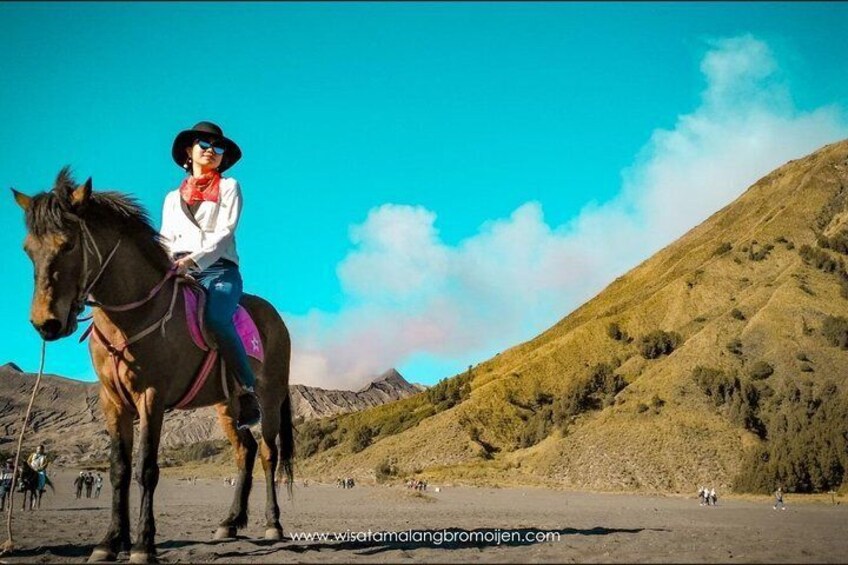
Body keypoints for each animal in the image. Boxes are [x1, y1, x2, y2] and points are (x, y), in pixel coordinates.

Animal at [10, 169, 298, 564]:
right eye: (28, 250)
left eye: (67, 245)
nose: (45, 324)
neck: (133, 313)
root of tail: (276, 319)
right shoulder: (113, 402)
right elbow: (119, 469)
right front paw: (110, 541)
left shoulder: (152, 397)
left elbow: (146, 468)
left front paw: (143, 545)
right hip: (228, 404)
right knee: (245, 451)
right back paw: (230, 522)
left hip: (268, 398)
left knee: (269, 454)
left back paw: (273, 524)